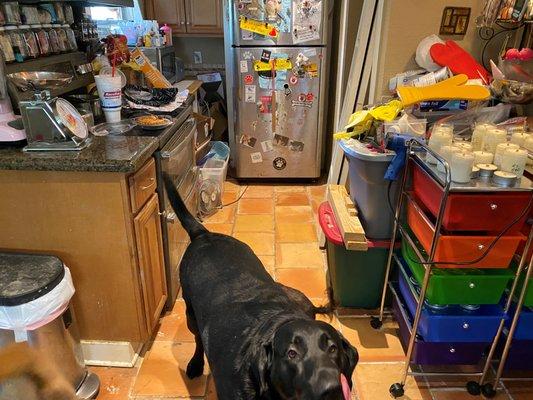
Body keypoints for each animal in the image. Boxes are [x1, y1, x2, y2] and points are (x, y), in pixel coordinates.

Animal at [163, 177, 358, 398]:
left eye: (333, 348)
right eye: (291, 354)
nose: (331, 389)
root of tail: (204, 234)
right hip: (191, 315)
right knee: (197, 340)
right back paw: (196, 364)